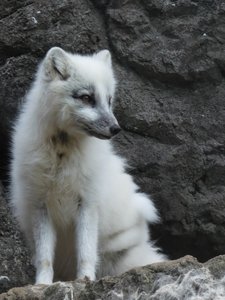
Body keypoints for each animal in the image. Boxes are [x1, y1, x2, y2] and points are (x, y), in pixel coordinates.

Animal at [10, 47, 165, 284]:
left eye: (109, 100)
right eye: (86, 98)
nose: (116, 128)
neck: (62, 152)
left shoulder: (88, 204)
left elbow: (85, 251)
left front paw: (85, 279)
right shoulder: (40, 206)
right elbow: (45, 257)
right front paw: (42, 284)